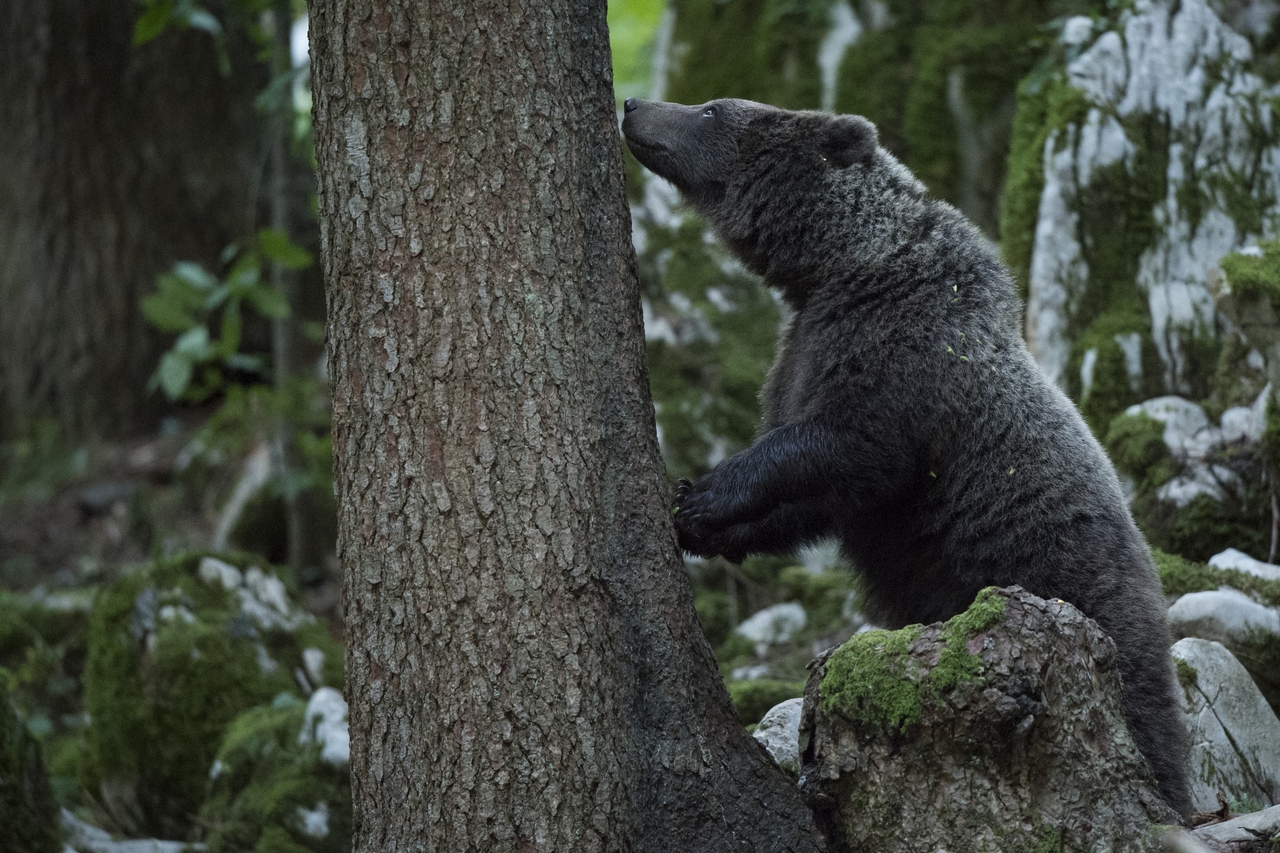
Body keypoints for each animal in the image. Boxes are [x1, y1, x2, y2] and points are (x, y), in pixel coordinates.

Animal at [621, 97, 1192, 817]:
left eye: (713, 109)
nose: (633, 105)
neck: (836, 264)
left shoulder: (903, 351)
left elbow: (843, 445)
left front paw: (700, 494)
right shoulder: (804, 348)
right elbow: (819, 494)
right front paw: (702, 524)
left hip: (1068, 592)